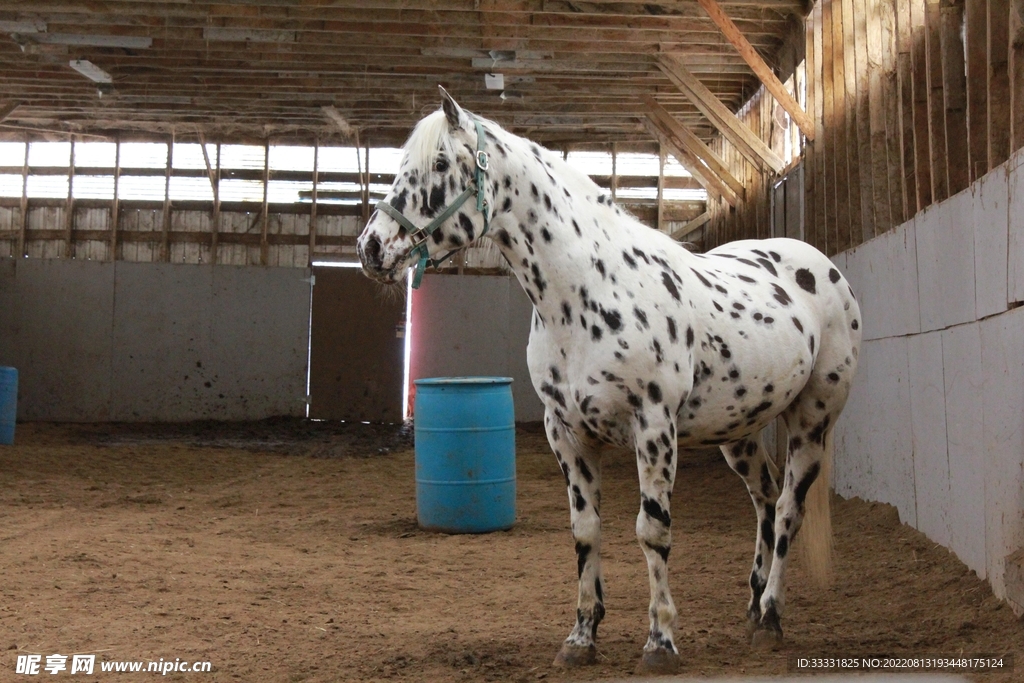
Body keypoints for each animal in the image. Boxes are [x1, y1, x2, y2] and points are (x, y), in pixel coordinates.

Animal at [357, 87, 861, 674]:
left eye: (439, 163)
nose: (371, 248)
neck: (586, 291)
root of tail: (823, 268)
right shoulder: (566, 433)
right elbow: (585, 530)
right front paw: (581, 637)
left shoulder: (654, 428)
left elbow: (652, 530)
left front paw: (661, 641)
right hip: (738, 431)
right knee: (763, 497)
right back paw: (754, 608)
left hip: (812, 420)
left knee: (785, 510)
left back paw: (773, 618)